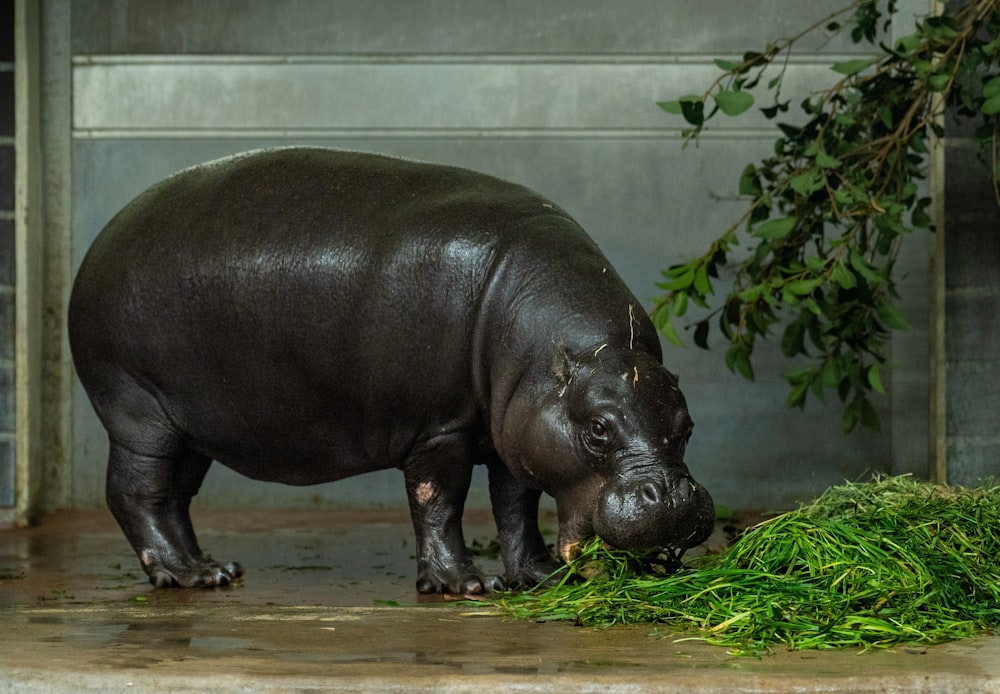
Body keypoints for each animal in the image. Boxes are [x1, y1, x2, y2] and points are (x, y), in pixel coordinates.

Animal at [66, 150, 716, 596]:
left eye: (687, 427)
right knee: (136, 492)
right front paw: (465, 586)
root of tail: (100, 244)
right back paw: (183, 576)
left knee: (176, 496)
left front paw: (536, 577)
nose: (671, 498)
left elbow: (516, 506)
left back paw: (216, 569)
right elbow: (440, 502)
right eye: (598, 429)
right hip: (139, 413)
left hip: (191, 423)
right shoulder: (440, 429)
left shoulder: (515, 431)